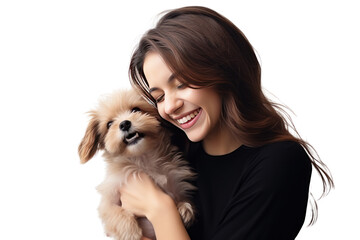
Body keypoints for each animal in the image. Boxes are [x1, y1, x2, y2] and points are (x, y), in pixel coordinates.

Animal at [77, 89, 195, 240]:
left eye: (136, 109)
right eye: (109, 124)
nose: (124, 124)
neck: (143, 159)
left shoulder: (177, 186)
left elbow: (184, 199)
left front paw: (184, 208)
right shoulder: (107, 201)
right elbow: (115, 212)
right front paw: (130, 231)